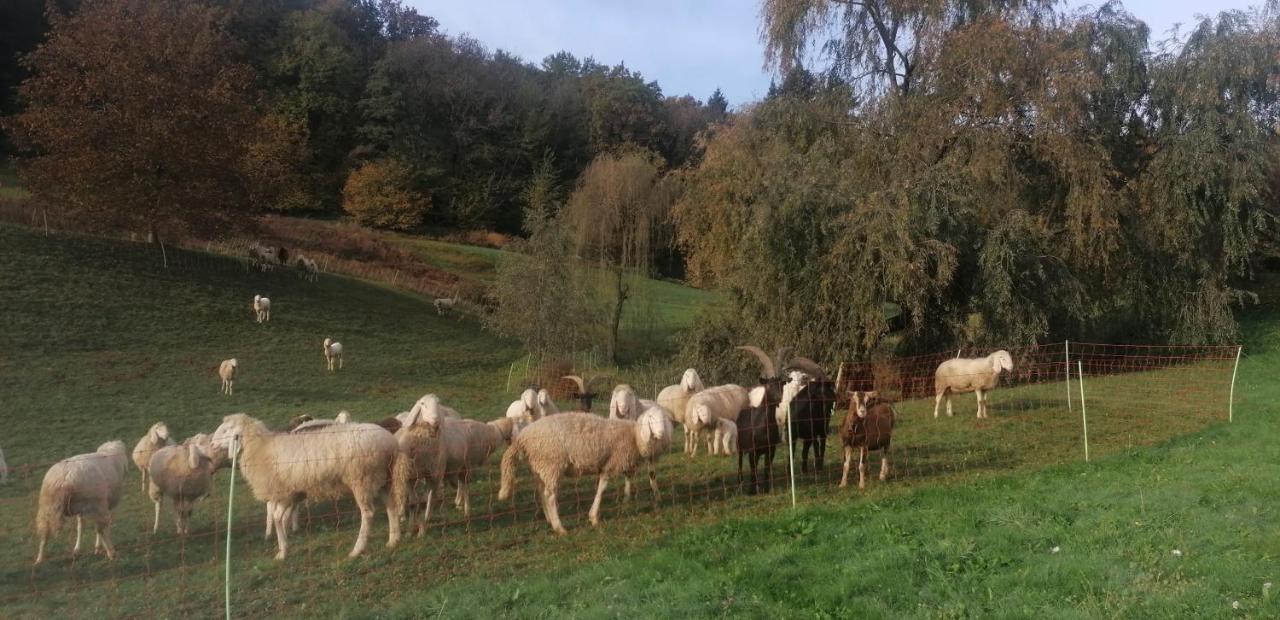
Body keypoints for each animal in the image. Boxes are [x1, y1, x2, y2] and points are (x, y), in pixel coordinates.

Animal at [211, 415, 399, 558]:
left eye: (226, 430)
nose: (212, 445)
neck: (260, 448)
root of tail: (390, 442)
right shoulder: (291, 494)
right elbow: (281, 518)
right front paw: (286, 541)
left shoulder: (284, 493)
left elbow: (277, 518)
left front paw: (282, 551)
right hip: (383, 479)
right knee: (391, 505)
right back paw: (393, 540)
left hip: (362, 479)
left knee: (368, 513)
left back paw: (358, 549)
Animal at [499, 409, 675, 535]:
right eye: (651, 419)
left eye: (662, 419)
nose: (660, 434)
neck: (635, 435)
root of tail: (523, 437)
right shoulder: (611, 464)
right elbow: (602, 488)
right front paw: (594, 517)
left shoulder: (624, 461)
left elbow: (630, 478)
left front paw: (628, 498)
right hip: (551, 463)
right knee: (549, 496)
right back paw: (560, 528)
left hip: (539, 467)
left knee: (541, 492)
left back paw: (549, 520)